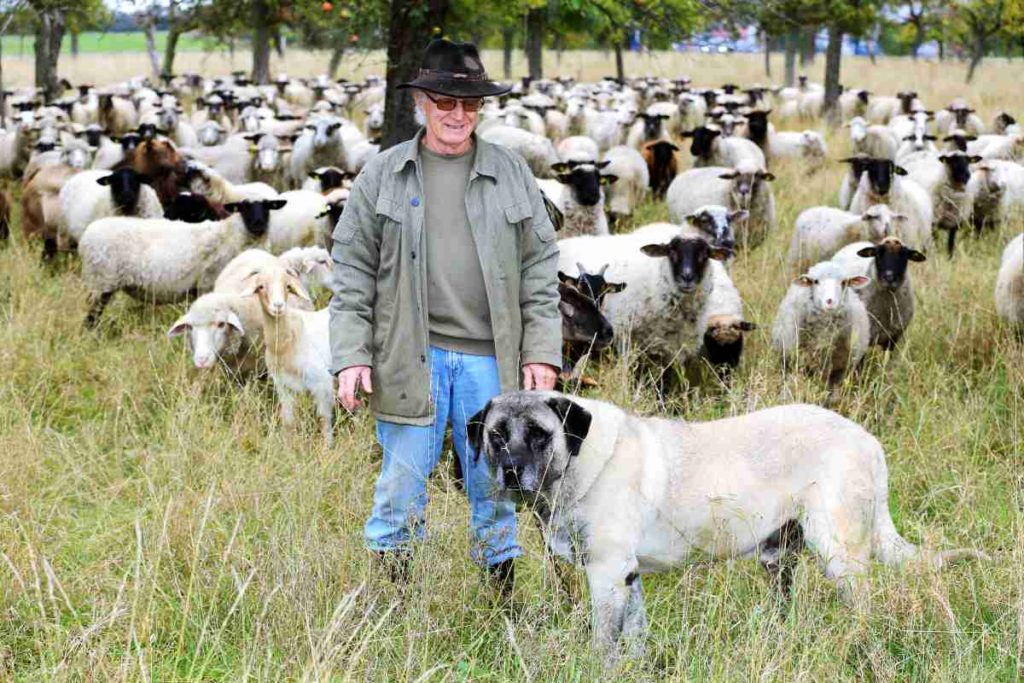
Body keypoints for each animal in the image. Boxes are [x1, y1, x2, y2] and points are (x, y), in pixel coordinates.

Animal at [78, 196, 288, 327]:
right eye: (243, 208)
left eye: (268, 207)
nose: (258, 224)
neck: (230, 236)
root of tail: (86, 237)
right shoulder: (207, 284)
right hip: (101, 281)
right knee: (91, 318)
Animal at [239, 264, 335, 446]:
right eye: (261, 286)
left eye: (287, 286)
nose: (278, 306)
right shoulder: (283, 386)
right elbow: (288, 420)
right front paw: (288, 447)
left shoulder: (322, 384)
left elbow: (324, 419)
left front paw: (327, 447)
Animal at [468, 393, 987, 659]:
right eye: (497, 435)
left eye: (539, 434)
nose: (511, 472)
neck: (578, 462)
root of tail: (867, 440)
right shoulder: (627, 578)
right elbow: (634, 636)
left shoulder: (607, 575)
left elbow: (603, 645)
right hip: (779, 559)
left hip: (838, 553)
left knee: (863, 609)